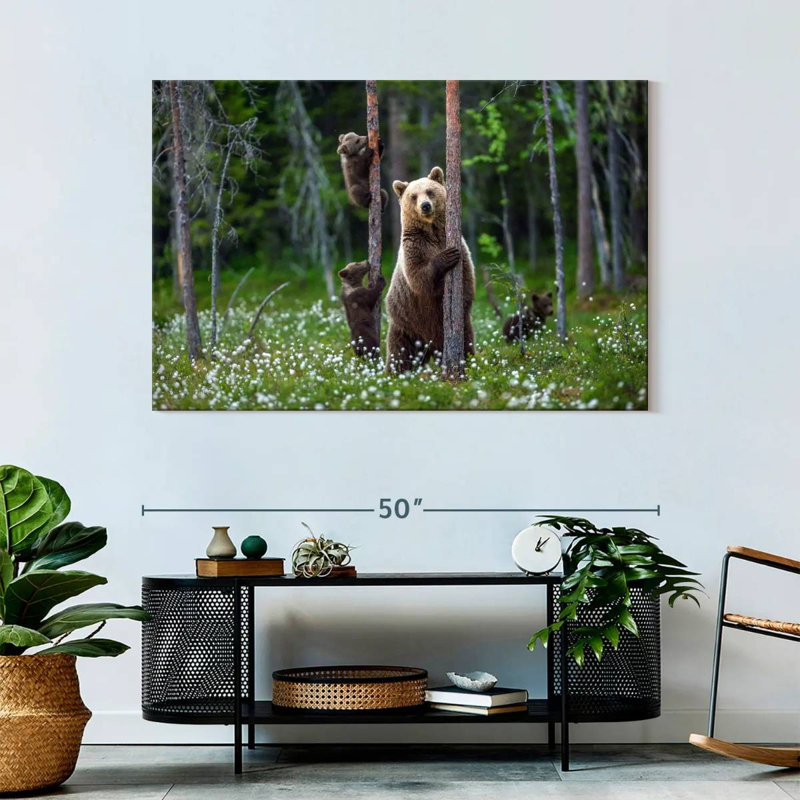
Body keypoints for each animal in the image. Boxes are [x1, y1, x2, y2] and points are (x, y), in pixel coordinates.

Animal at [384, 166, 476, 373]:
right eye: (413, 196)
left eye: (430, 191)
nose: (425, 205)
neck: (432, 232)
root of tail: (430, 345)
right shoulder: (414, 247)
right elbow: (419, 277)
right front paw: (446, 256)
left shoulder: (460, 246)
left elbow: (467, 279)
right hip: (406, 324)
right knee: (400, 354)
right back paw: (393, 374)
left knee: (467, 342)